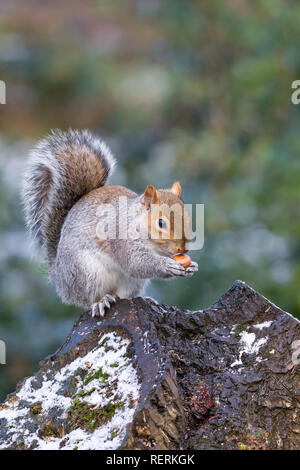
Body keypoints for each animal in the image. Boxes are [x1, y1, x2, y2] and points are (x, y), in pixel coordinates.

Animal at [22, 129, 197, 316]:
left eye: (188, 218)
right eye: (161, 223)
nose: (182, 249)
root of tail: (59, 275)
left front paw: (191, 266)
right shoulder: (121, 237)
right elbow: (135, 262)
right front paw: (167, 265)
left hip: (132, 282)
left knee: (123, 295)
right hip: (86, 272)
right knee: (89, 297)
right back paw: (100, 302)